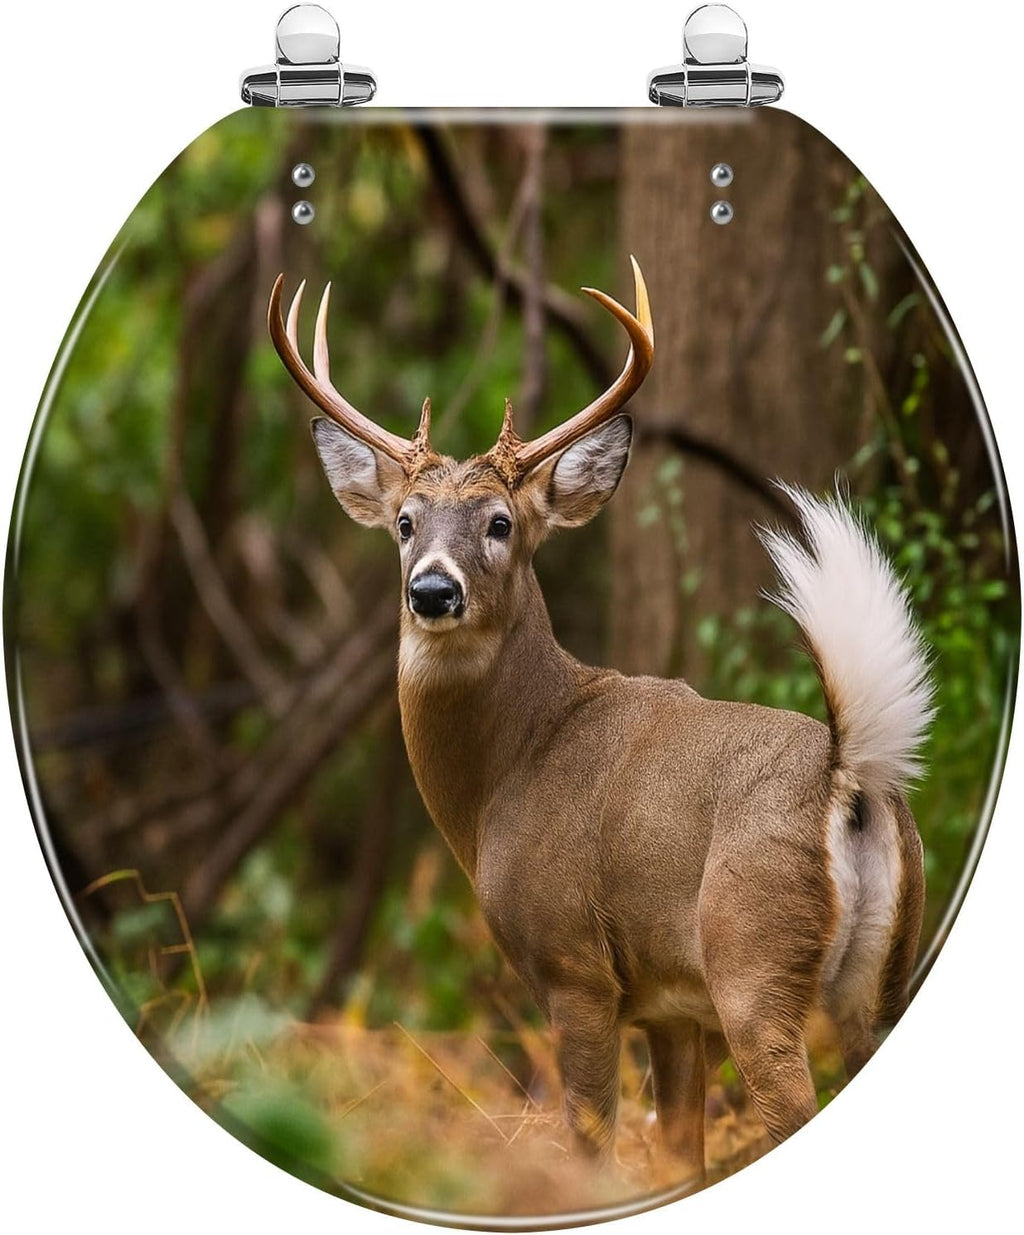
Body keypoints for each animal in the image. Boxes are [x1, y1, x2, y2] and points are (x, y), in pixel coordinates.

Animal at [267, 258, 932, 1183]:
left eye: (501, 523)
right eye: (404, 522)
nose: (432, 589)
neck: (505, 775)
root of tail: (851, 774)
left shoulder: (574, 965)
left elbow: (590, 1142)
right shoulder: (672, 1005)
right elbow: (677, 1154)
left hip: (753, 955)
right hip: (882, 978)